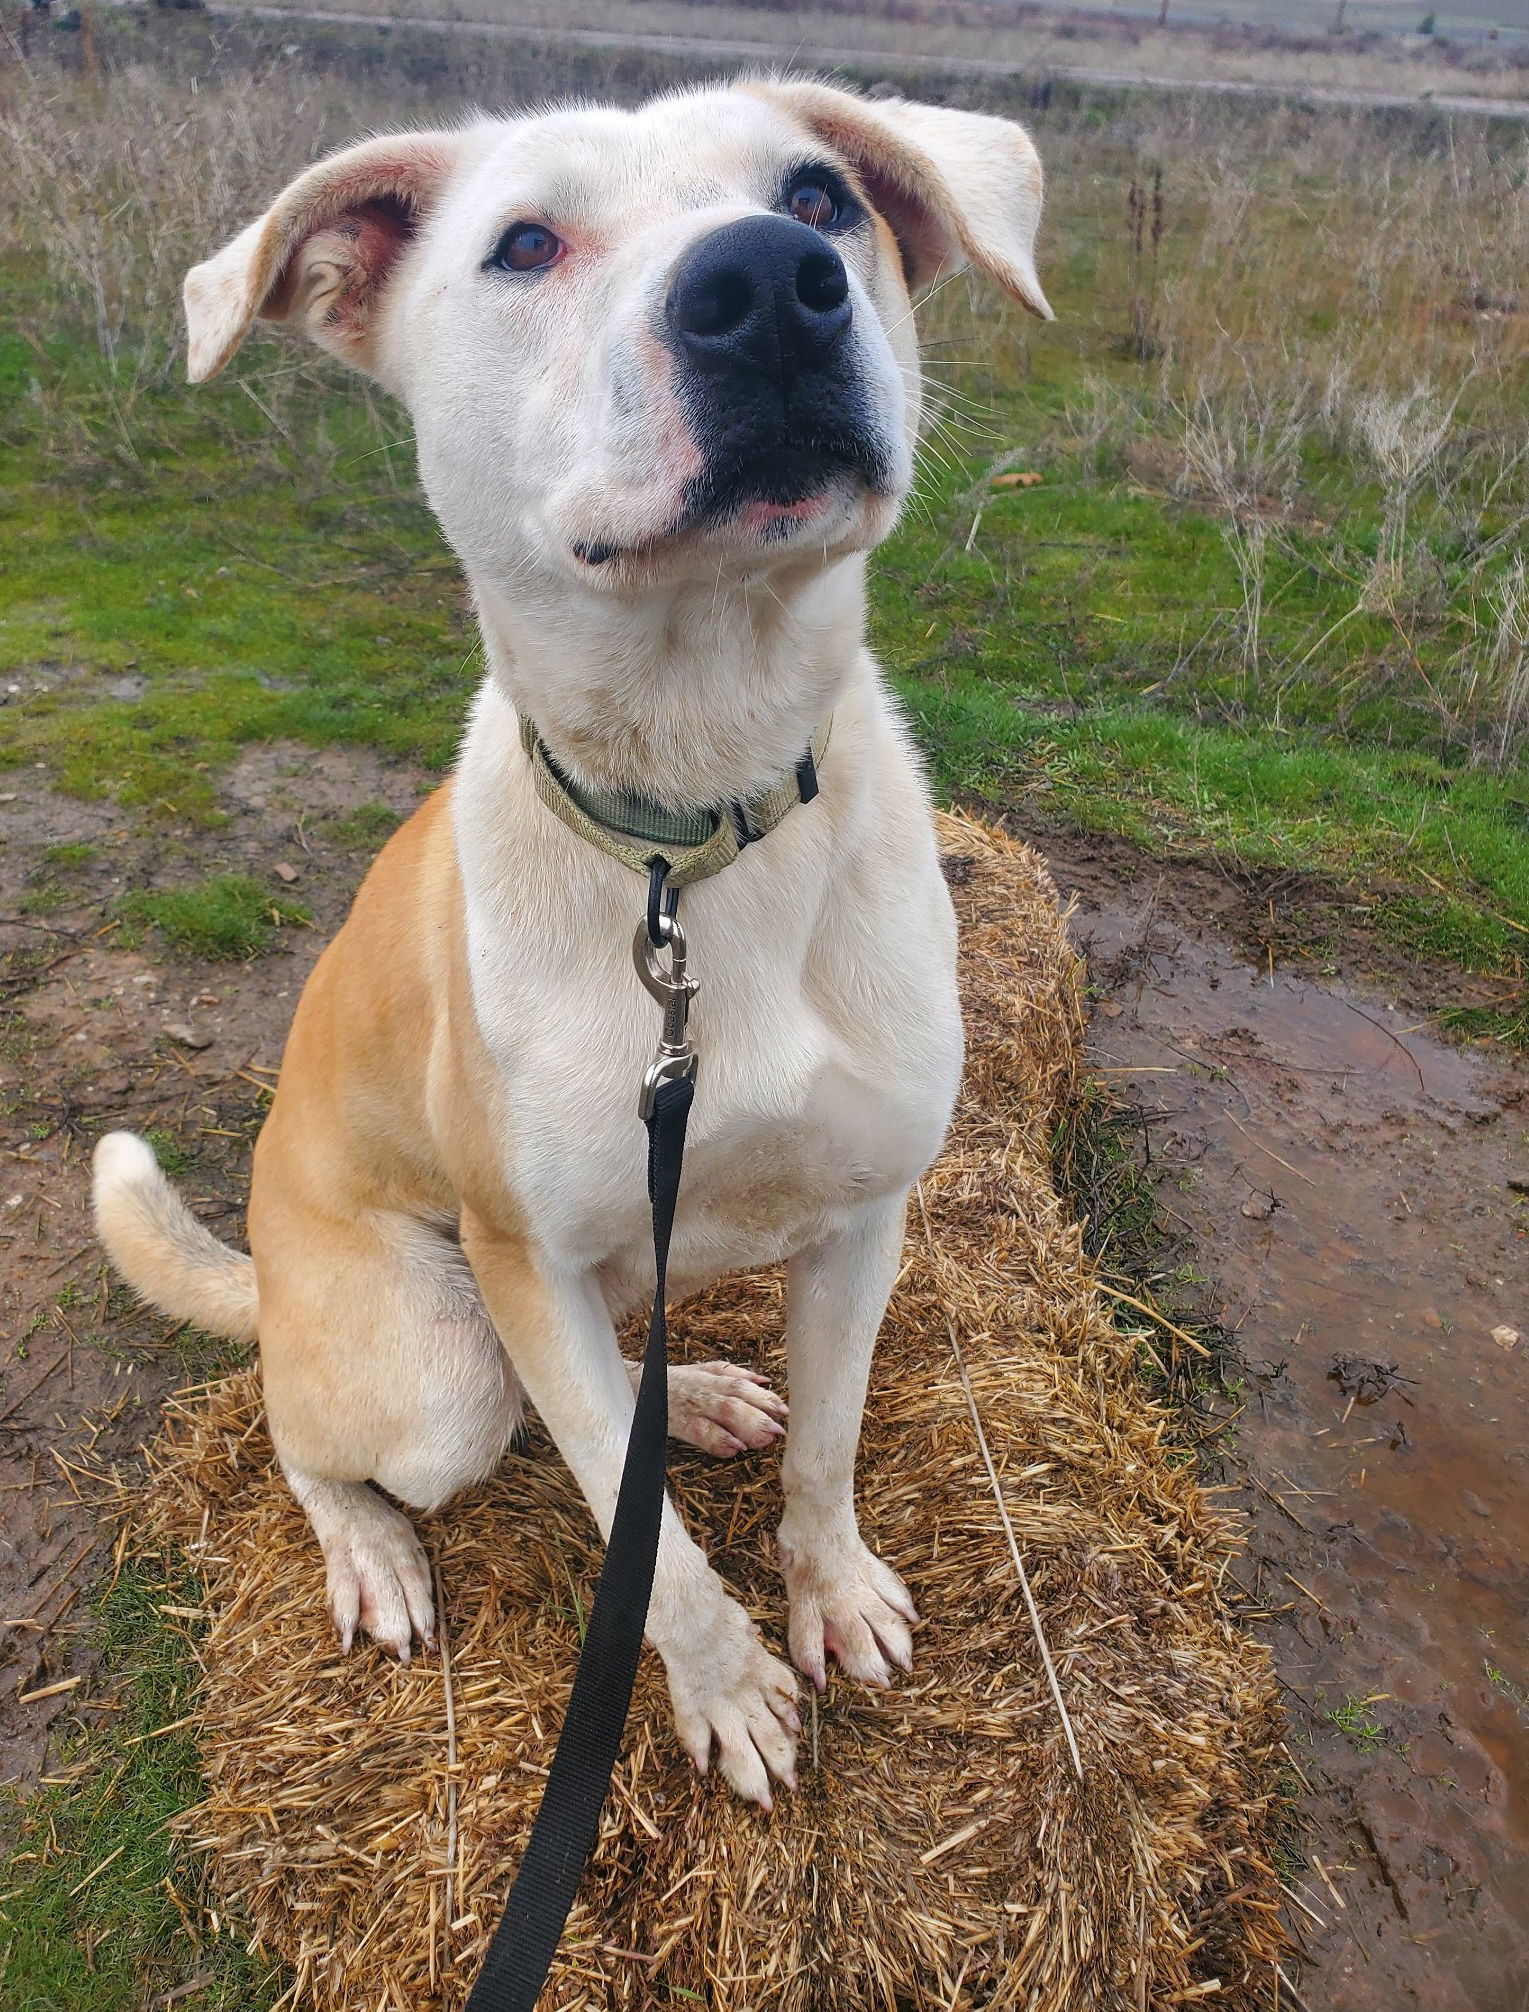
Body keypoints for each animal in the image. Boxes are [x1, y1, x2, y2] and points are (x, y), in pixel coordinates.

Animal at [92, 82, 1054, 1810]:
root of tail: (269, 1266)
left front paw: (831, 1592)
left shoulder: (865, 1216)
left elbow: (823, 1452)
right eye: (525, 244)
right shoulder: (525, 1267)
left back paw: (711, 1392)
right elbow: (647, 1546)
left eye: (820, 196)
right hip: (440, 1365)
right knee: (318, 1438)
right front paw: (728, 1693)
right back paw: (372, 1551)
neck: (692, 824)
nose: (770, 284)